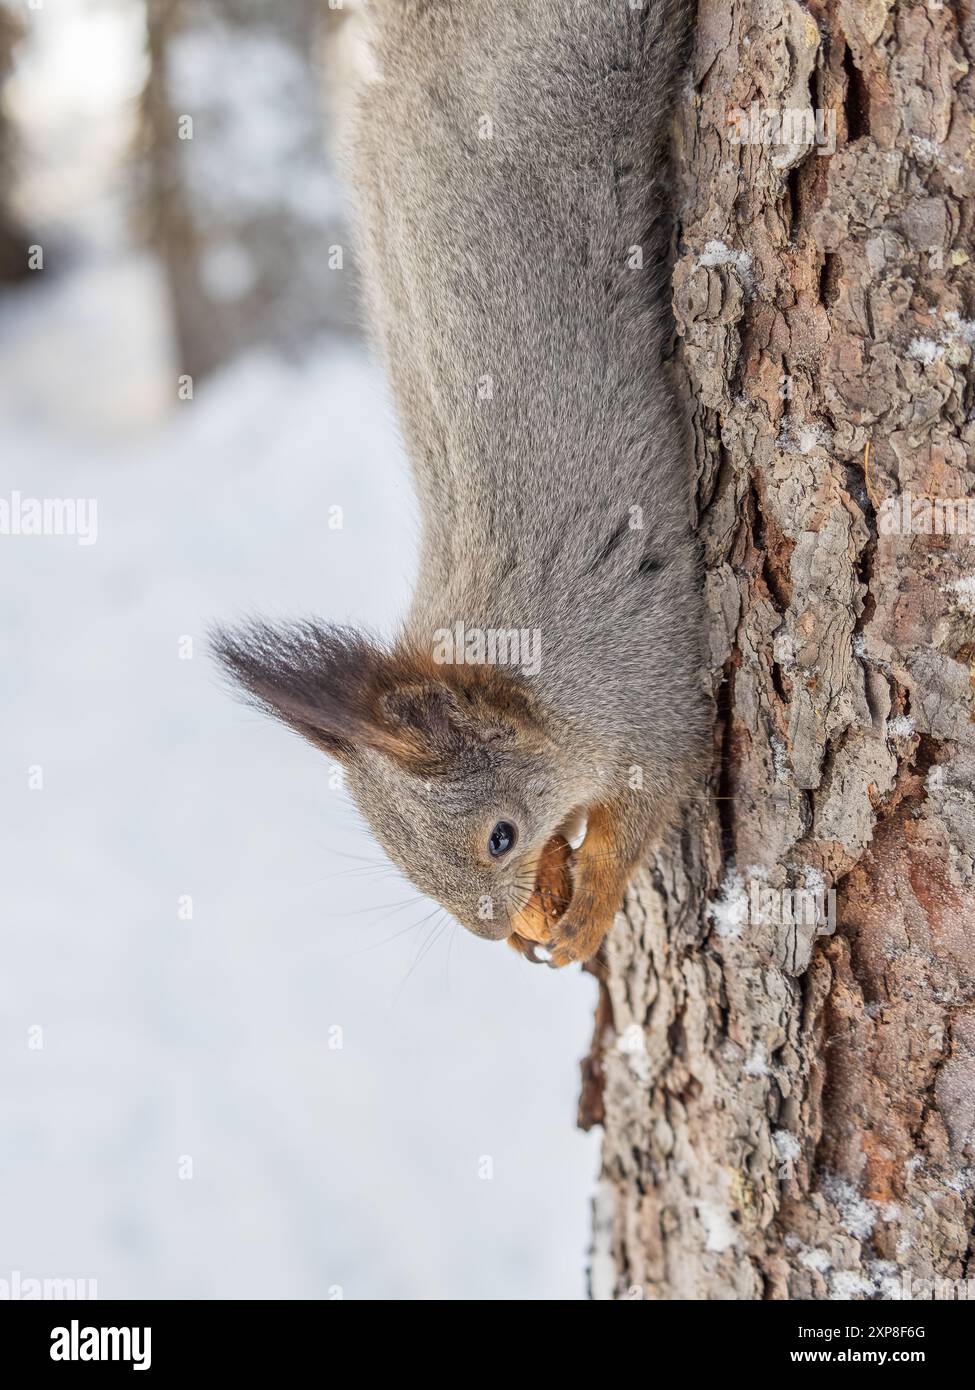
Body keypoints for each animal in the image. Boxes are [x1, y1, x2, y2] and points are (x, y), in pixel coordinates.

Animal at [213, 0, 709, 967]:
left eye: (500, 837)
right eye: (396, 860)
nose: (490, 935)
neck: (529, 679)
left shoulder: (647, 686)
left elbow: (647, 803)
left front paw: (583, 909)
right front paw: (544, 909)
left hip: (585, 56)